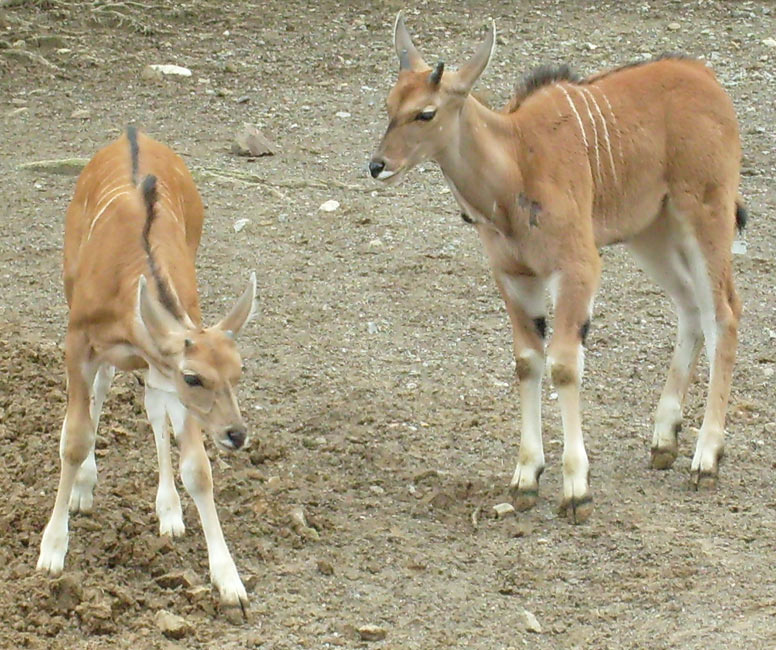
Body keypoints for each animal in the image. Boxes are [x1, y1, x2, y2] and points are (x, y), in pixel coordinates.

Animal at [38, 129, 256, 612]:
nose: (236, 434)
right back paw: (85, 489)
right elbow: (74, 439)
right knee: (103, 391)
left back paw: (169, 511)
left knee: (154, 411)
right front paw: (51, 552)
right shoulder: (78, 341)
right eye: (196, 376)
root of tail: (131, 133)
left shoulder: (165, 359)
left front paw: (229, 581)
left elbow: (197, 467)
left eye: (238, 372)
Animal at [370, 13, 744, 520]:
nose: (377, 165)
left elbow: (564, 365)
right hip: (651, 232)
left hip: (706, 213)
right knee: (690, 307)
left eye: (425, 113)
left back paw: (706, 458)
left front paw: (576, 488)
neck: (516, 165)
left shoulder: (577, 267)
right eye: (389, 105)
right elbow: (527, 361)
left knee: (722, 312)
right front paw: (526, 477)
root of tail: (708, 81)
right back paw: (664, 438)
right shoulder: (514, 276)